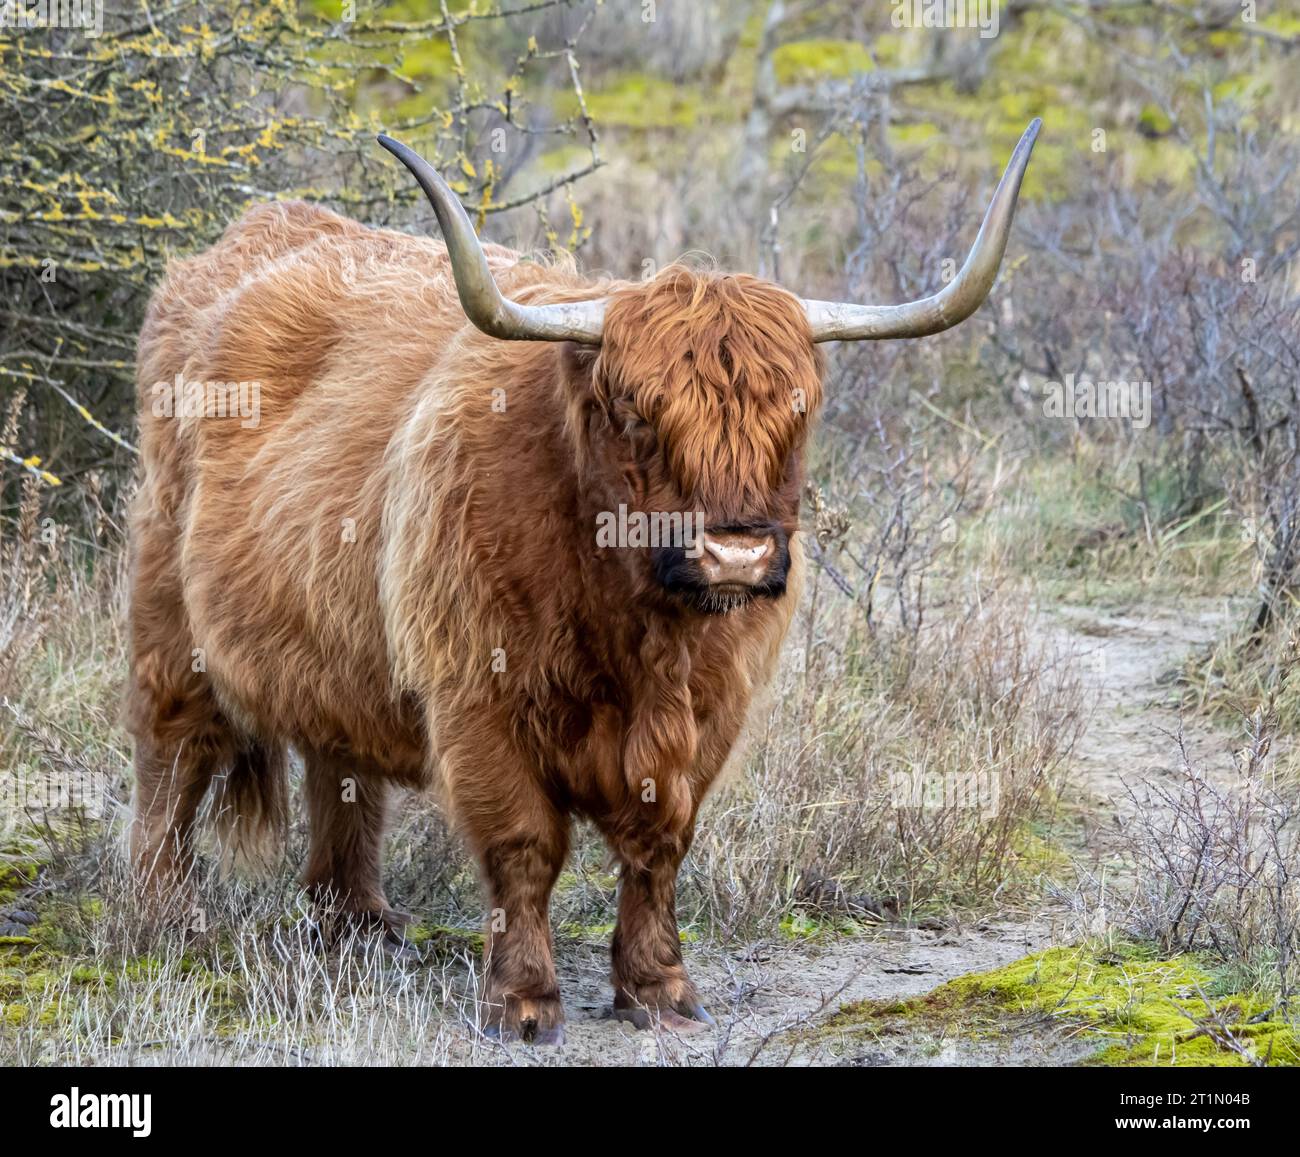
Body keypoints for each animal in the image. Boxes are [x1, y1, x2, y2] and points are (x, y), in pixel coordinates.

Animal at [127, 120, 1040, 1043]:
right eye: (639, 413)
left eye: (797, 410)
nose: (736, 556)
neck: (637, 625)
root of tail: (252, 235)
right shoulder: (478, 700)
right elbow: (524, 847)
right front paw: (523, 1000)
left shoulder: (709, 715)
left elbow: (660, 845)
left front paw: (659, 987)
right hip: (169, 615)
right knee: (172, 760)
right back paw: (165, 921)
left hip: (333, 639)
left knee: (339, 763)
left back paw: (357, 921)